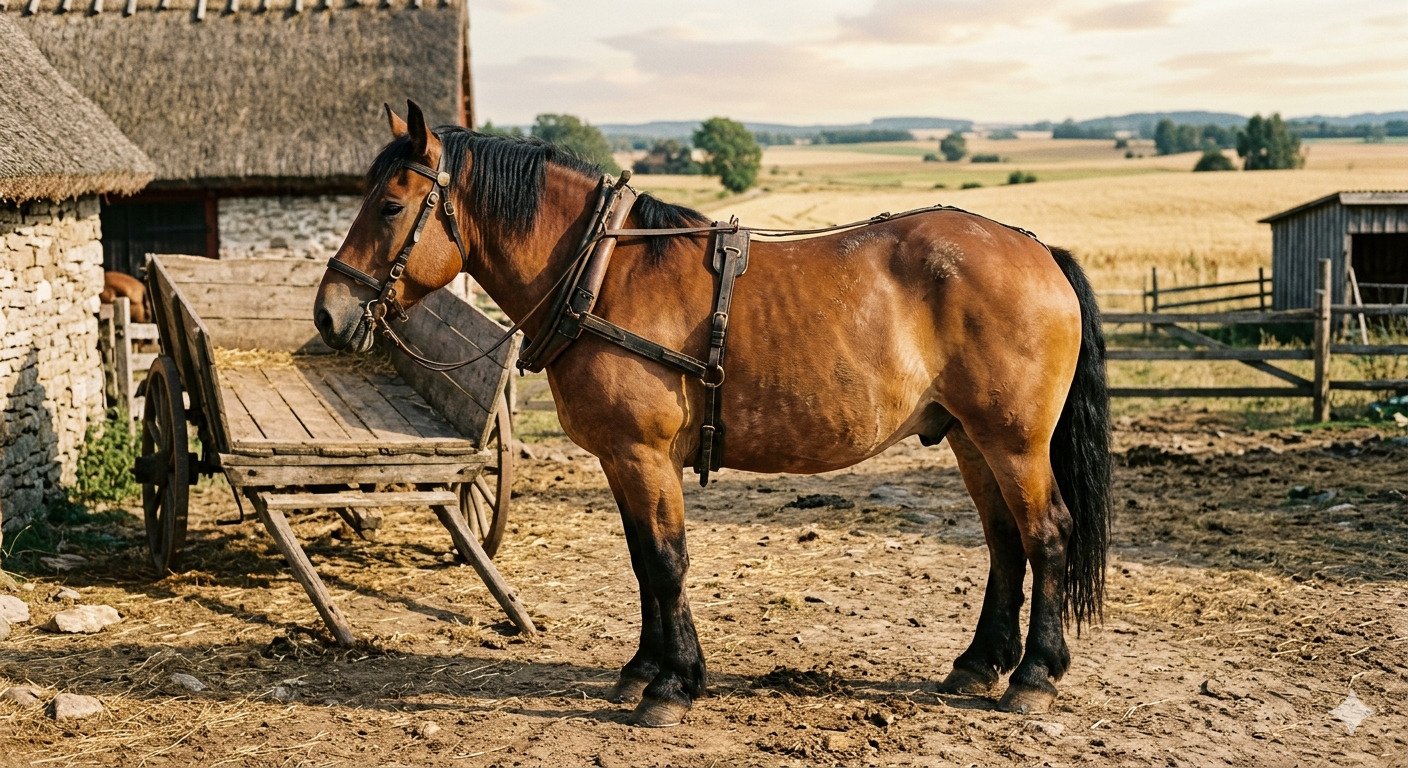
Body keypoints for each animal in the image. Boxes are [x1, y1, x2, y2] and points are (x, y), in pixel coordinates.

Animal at [315, 101, 1112, 727]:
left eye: (389, 206)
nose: (329, 314)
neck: (602, 277)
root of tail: (1038, 250)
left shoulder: (643, 453)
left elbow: (667, 561)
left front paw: (672, 687)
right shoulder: (622, 459)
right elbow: (643, 560)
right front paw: (644, 669)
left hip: (1014, 442)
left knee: (1046, 535)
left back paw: (1034, 676)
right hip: (972, 440)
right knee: (1005, 542)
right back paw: (980, 663)